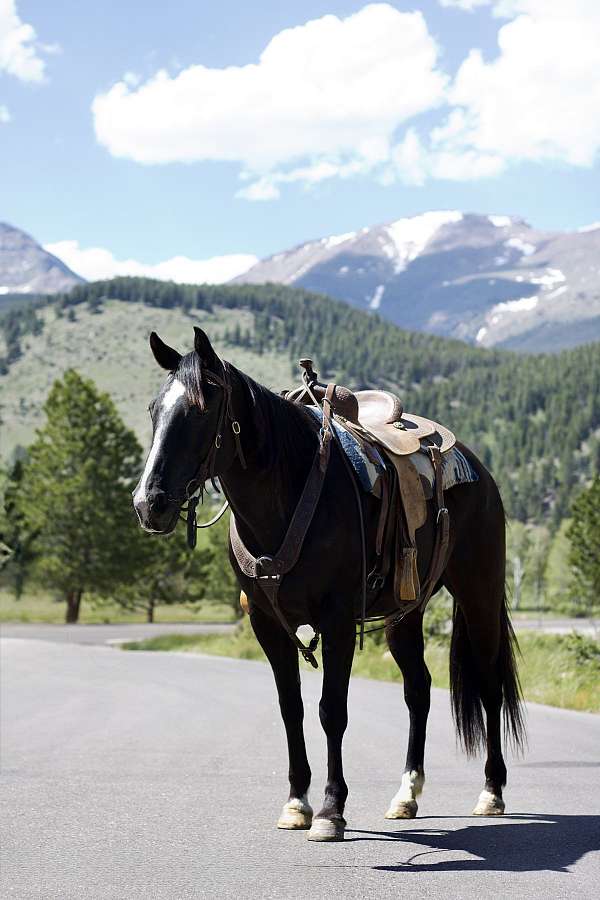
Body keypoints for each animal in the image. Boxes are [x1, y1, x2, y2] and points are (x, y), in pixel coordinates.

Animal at [133, 326, 525, 842]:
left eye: (200, 409)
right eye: (154, 409)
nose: (148, 504)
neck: (287, 498)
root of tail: (478, 471)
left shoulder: (337, 618)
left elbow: (331, 710)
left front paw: (330, 810)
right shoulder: (267, 624)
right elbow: (291, 709)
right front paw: (296, 803)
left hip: (479, 595)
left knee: (489, 684)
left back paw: (491, 793)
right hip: (405, 612)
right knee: (418, 689)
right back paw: (406, 795)